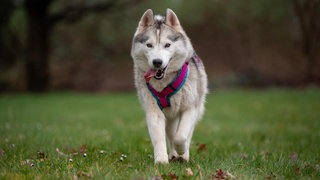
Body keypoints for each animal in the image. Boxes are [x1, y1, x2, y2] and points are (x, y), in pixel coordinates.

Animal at [130, 8, 208, 165]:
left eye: (167, 45)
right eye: (149, 45)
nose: (157, 62)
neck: (164, 83)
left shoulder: (190, 108)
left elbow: (181, 136)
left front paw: (182, 150)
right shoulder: (154, 111)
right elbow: (160, 138)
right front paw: (161, 160)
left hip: (194, 108)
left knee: (183, 134)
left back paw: (182, 154)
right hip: (170, 117)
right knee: (171, 134)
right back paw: (173, 155)